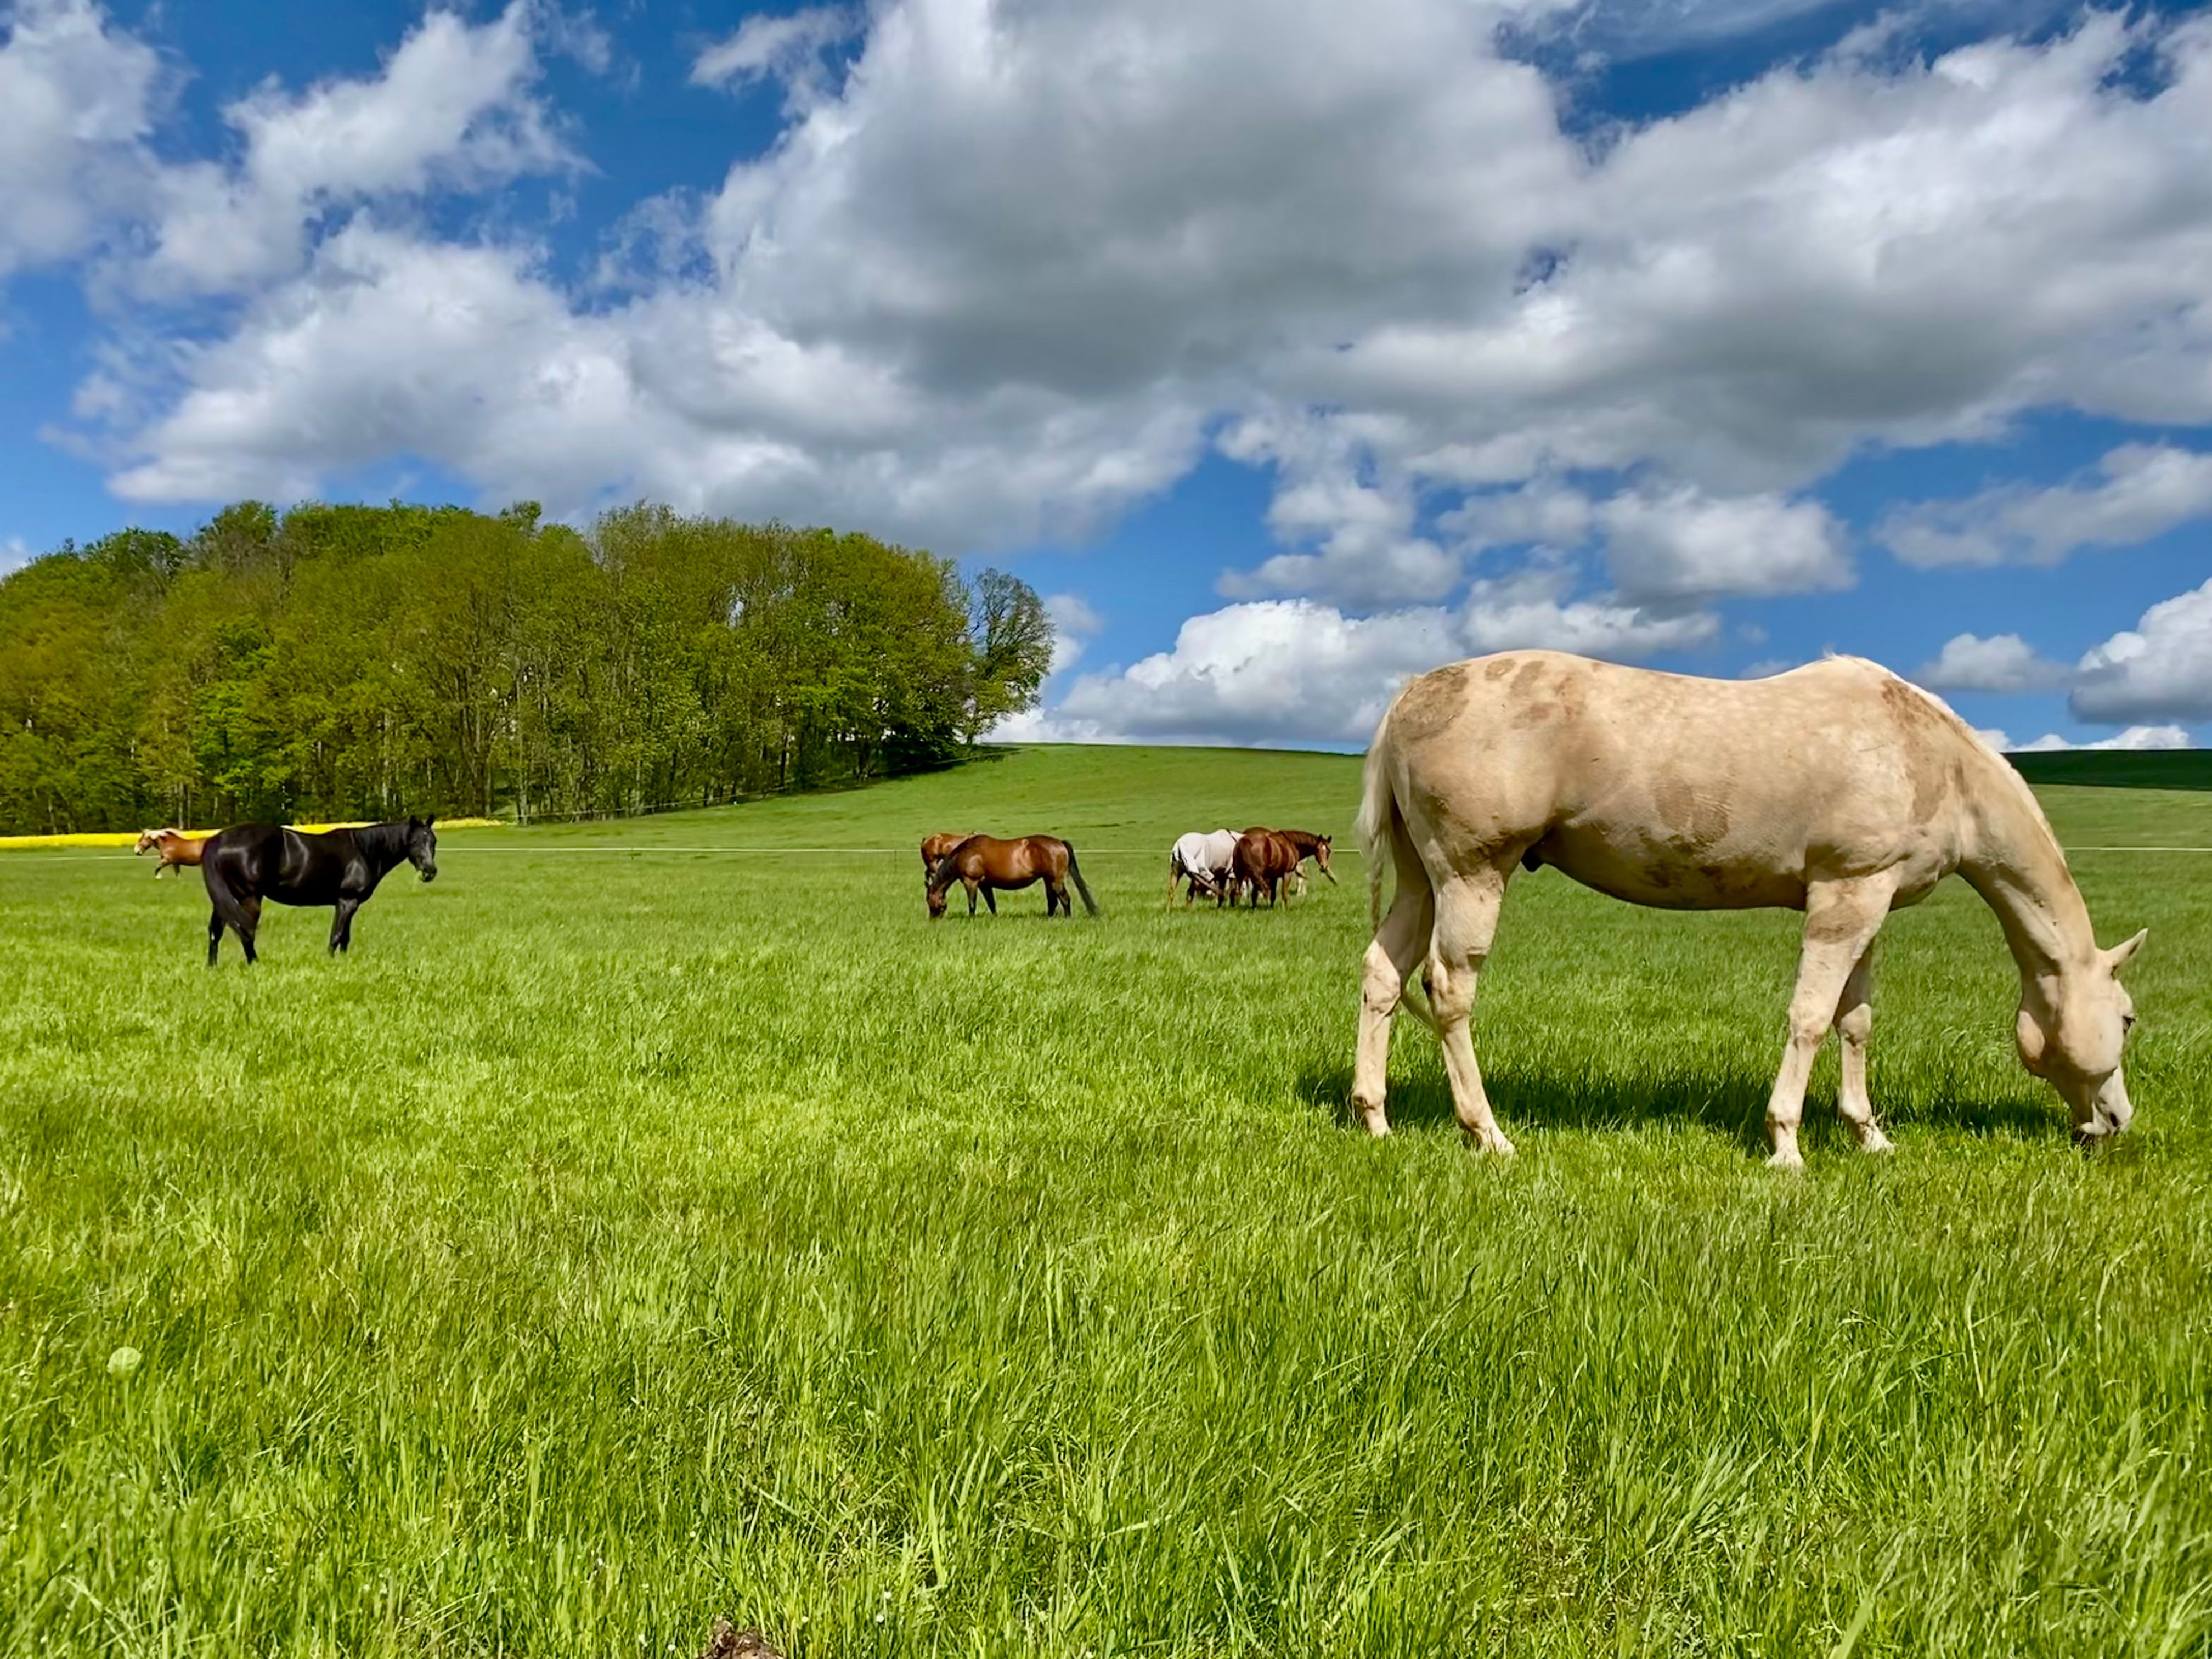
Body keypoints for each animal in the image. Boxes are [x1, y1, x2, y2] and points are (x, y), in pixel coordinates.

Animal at [199, 817, 439, 964]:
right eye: (414, 841)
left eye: (434, 841)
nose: (430, 871)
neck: (364, 850)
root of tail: (219, 839)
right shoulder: (347, 901)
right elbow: (336, 935)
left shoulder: (348, 903)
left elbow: (345, 938)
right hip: (249, 898)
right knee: (246, 931)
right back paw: (255, 963)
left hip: (224, 899)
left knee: (216, 931)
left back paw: (213, 967)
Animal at [927, 834, 1098, 919]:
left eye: (929, 901)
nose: (933, 920)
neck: (966, 854)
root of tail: (1060, 843)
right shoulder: (985, 885)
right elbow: (991, 903)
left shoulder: (971, 882)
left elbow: (972, 904)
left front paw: (971, 919)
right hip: (1048, 880)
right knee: (1053, 901)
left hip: (1056, 881)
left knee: (1065, 899)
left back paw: (1067, 919)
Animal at [1167, 829, 1239, 907]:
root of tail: (1180, 846)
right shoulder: (1231, 874)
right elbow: (1231, 891)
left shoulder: (1222, 875)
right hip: (1199, 875)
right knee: (1190, 892)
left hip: (1176, 873)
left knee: (1172, 891)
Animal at [1231, 829, 1304, 908]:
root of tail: (1243, 842)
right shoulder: (1287, 873)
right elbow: (1283, 893)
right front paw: (1283, 907)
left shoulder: (1273, 877)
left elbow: (1272, 893)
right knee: (1262, 891)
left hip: (1240, 874)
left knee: (1238, 892)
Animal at [1352, 650, 2145, 1169]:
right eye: (2130, 1018)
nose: (2115, 1121)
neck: (1932, 760)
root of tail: (1409, 697)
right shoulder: (1844, 897)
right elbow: (1812, 1017)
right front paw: (1787, 1145)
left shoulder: (1871, 901)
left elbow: (1855, 1022)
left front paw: (1869, 1135)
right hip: (1472, 874)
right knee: (1449, 989)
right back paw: (1487, 1134)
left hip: (1424, 881)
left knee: (1383, 975)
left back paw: (1375, 1119)